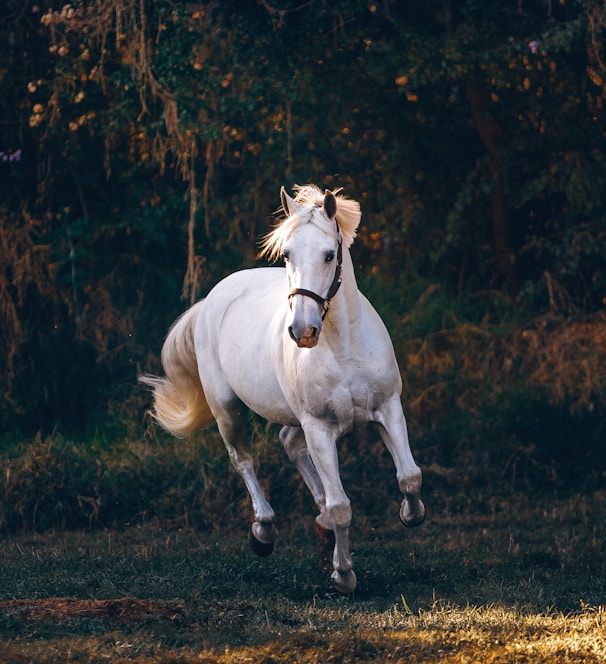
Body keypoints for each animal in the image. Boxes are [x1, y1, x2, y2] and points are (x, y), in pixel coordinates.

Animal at [142, 184, 428, 592]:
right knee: (243, 460)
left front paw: (409, 514)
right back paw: (263, 532)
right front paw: (343, 575)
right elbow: (342, 506)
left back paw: (318, 524)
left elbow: (409, 476)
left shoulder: (388, 409)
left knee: (289, 444)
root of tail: (212, 299)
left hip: (293, 417)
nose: (302, 331)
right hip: (227, 408)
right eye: (288, 254)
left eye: (329, 255)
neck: (343, 347)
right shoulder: (319, 427)